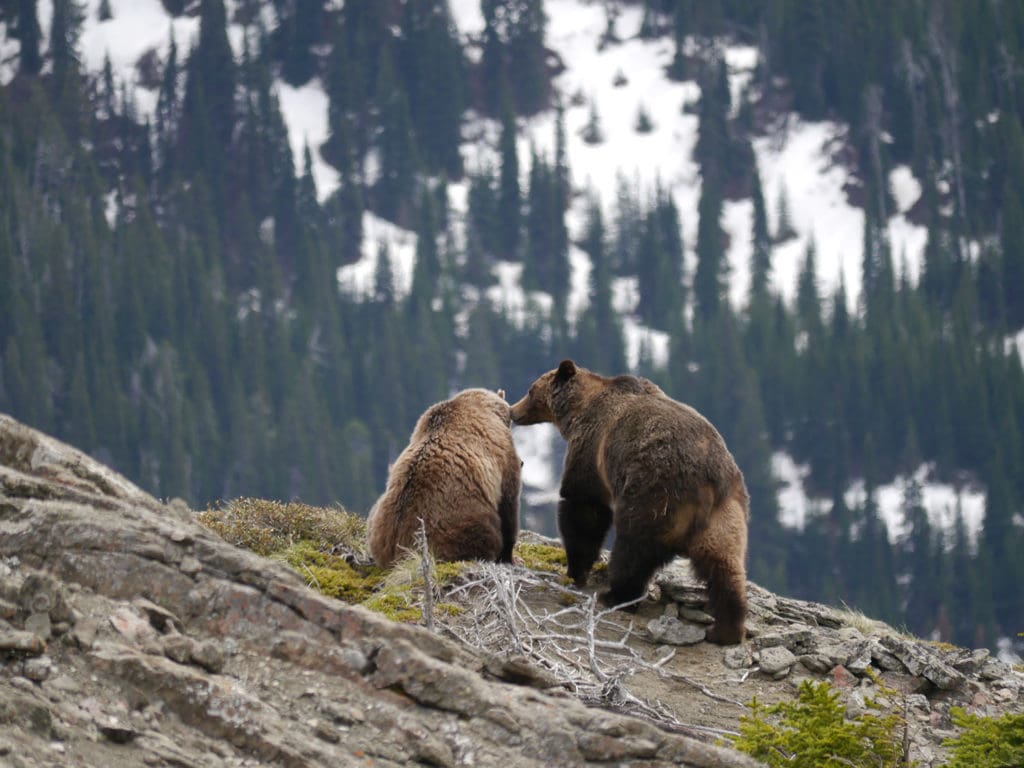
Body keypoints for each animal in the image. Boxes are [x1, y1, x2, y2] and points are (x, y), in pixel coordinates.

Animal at [509, 360, 745, 643]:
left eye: (531, 390)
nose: (512, 410)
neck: (578, 410)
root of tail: (711, 481)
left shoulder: (592, 449)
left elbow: (584, 506)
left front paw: (575, 571)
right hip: (725, 516)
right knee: (724, 566)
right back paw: (726, 630)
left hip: (655, 495)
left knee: (634, 547)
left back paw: (616, 595)